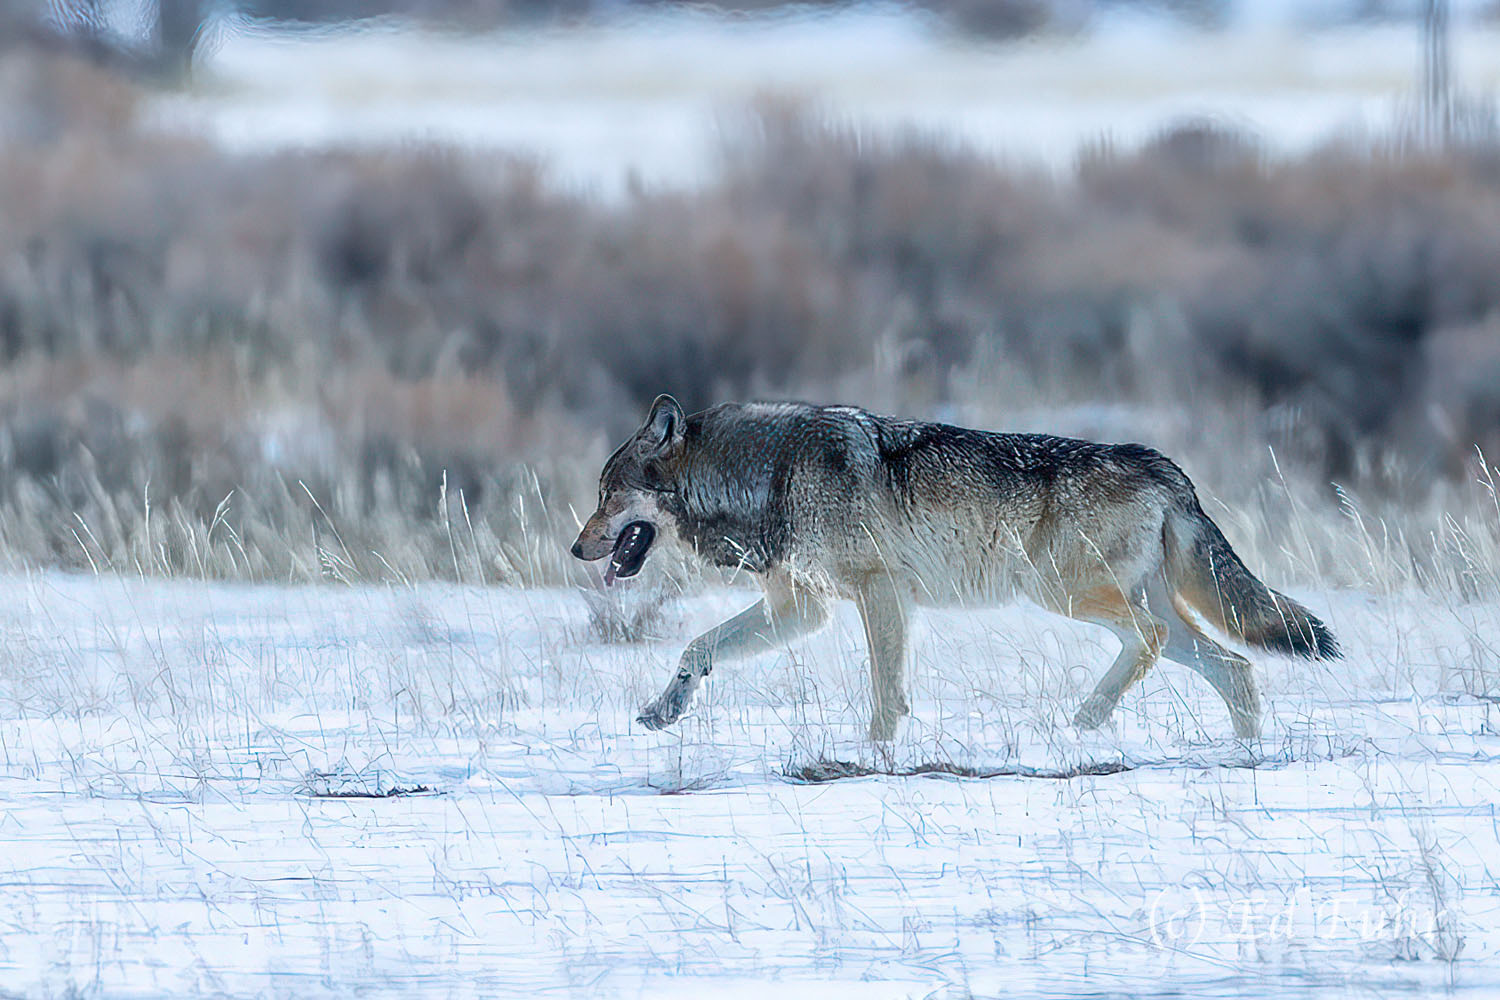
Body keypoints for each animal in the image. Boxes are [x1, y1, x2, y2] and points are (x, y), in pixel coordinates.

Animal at [571, 395, 1339, 742]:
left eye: (607, 495)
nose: (578, 550)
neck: (769, 471)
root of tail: (1165, 464)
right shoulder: (803, 607)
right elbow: (697, 650)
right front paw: (663, 709)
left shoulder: (879, 593)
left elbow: (886, 694)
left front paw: (874, 756)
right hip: (1133, 608)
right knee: (1234, 666)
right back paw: (1244, 754)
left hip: (1062, 593)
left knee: (1151, 641)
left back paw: (1087, 719)